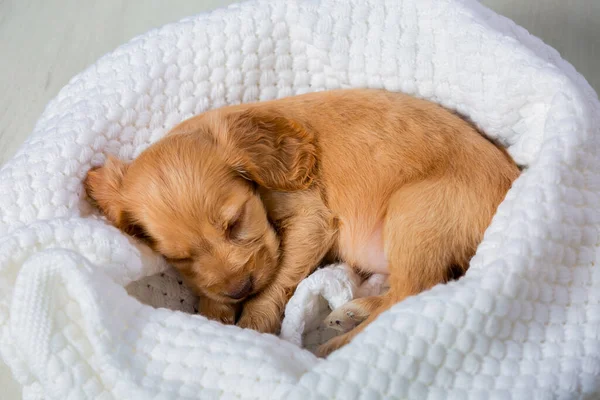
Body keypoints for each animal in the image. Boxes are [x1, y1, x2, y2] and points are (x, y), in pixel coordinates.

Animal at [84, 88, 520, 356]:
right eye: (179, 258)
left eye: (236, 223)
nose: (239, 288)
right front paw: (214, 313)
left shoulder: (312, 219)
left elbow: (274, 281)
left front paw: (251, 321)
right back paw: (352, 312)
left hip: (414, 213)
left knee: (415, 293)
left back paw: (339, 345)